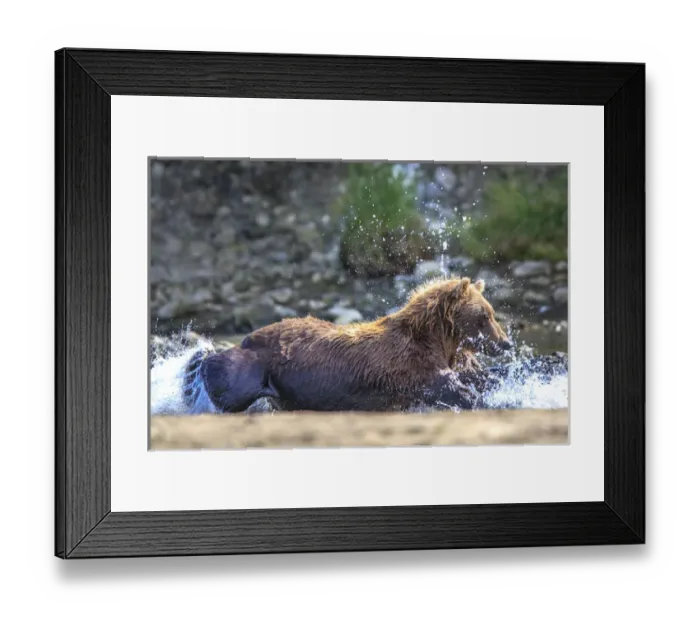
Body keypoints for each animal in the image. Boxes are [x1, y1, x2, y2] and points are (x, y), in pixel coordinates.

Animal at [182, 277, 513, 413]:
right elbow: (453, 389)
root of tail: (249, 336)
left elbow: (477, 379)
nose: (507, 343)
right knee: (231, 383)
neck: (439, 340)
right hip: (259, 362)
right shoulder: (413, 367)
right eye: (485, 316)